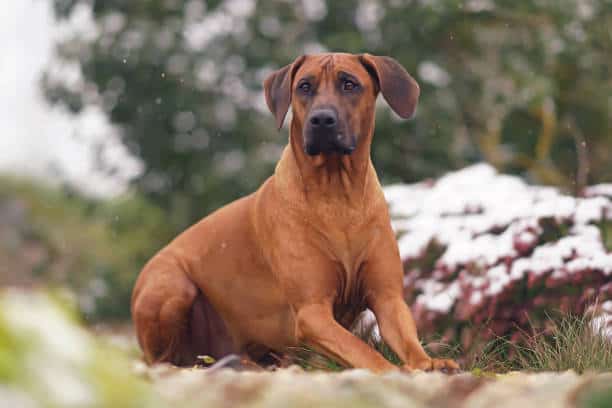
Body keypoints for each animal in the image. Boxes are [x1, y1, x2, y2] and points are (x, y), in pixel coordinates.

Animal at [133, 51, 460, 372]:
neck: (337, 195)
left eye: (349, 84)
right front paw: (396, 371)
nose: (322, 119)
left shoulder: (388, 298)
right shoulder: (311, 312)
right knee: (165, 360)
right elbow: (364, 352)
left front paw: (431, 363)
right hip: (171, 285)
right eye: (304, 86)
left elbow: (407, 341)